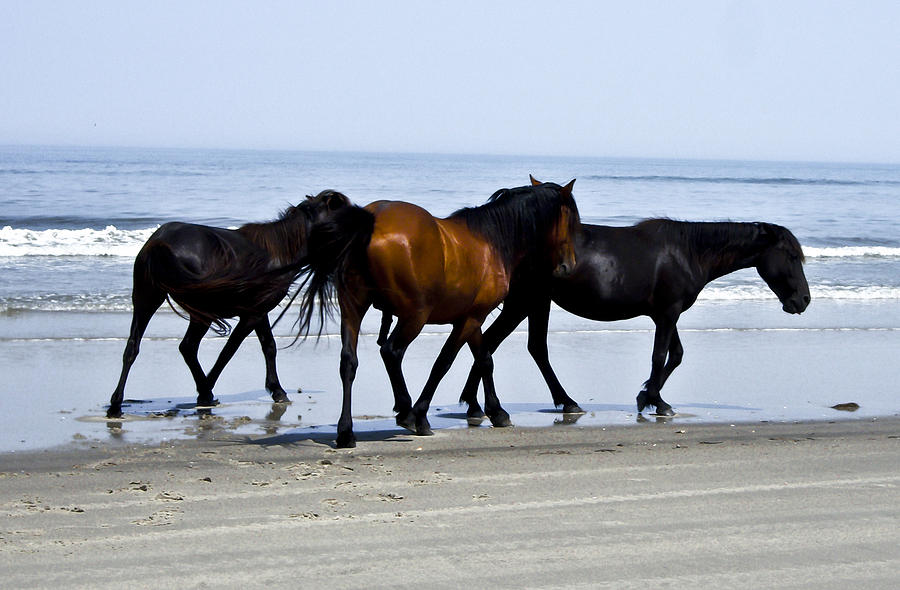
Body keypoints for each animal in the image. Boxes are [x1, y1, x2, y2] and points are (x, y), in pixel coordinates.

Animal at [107, 191, 354, 420]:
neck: (280, 249)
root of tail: (159, 242)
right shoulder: (252, 314)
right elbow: (230, 350)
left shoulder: (259, 312)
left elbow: (268, 346)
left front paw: (276, 390)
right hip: (198, 311)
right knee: (188, 347)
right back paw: (205, 392)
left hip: (146, 299)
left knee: (133, 347)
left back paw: (116, 404)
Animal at [298, 180, 580, 448]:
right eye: (571, 221)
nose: (569, 266)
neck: (492, 240)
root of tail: (371, 219)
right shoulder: (469, 320)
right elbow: (444, 363)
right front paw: (420, 415)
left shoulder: (472, 317)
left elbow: (484, 359)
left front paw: (496, 411)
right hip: (414, 316)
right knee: (391, 352)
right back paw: (406, 410)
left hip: (353, 308)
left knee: (349, 362)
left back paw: (346, 432)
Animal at [460, 183, 812, 418]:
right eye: (792, 256)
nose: (803, 300)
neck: (688, 253)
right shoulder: (668, 314)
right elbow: (660, 357)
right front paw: (654, 400)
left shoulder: (666, 314)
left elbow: (675, 356)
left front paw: (649, 397)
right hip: (525, 302)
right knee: (497, 343)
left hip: (535, 303)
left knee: (518, 346)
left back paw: (480, 405)